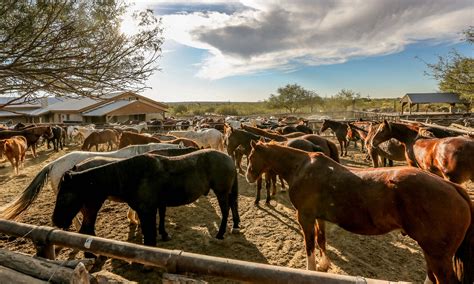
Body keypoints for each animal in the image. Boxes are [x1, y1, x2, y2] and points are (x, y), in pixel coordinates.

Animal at [52, 151, 241, 246]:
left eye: (63, 197)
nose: (55, 221)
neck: (132, 175)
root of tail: (228, 157)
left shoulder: (147, 211)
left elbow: (150, 237)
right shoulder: (153, 207)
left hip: (221, 192)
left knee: (225, 210)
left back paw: (220, 234)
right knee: (232, 205)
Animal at [246, 142, 472, 284]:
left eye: (250, 156)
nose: (248, 176)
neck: (301, 168)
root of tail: (453, 188)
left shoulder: (305, 217)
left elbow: (309, 244)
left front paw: (311, 269)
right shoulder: (319, 217)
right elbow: (321, 239)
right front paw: (324, 265)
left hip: (438, 255)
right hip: (430, 251)